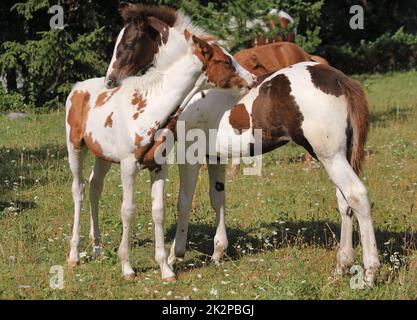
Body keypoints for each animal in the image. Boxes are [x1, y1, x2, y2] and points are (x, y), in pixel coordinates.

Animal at [66, 6, 254, 282]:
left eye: (128, 43)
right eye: (226, 61)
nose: (252, 78)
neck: (152, 109)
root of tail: (78, 87)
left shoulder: (159, 166)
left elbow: (159, 210)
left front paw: (166, 268)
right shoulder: (129, 166)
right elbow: (128, 210)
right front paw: (127, 266)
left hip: (102, 156)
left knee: (94, 187)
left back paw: (98, 248)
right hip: (75, 148)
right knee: (78, 190)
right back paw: (74, 255)